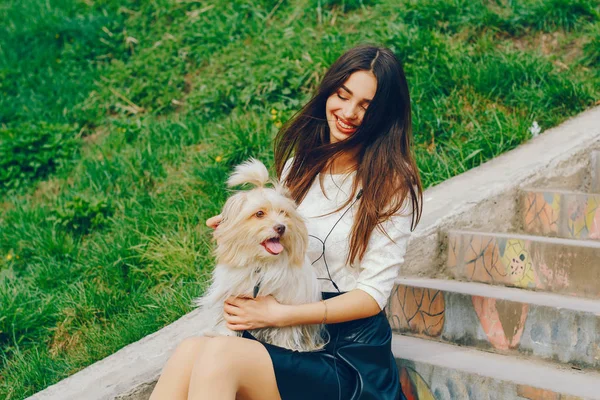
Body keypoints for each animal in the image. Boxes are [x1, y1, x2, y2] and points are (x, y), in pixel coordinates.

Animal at [195, 158, 326, 352]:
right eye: (259, 214)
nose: (281, 227)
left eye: (283, 213)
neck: (262, 264)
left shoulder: (286, 308)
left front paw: (284, 347)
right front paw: (225, 335)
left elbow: (284, 330)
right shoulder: (231, 298)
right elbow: (227, 324)